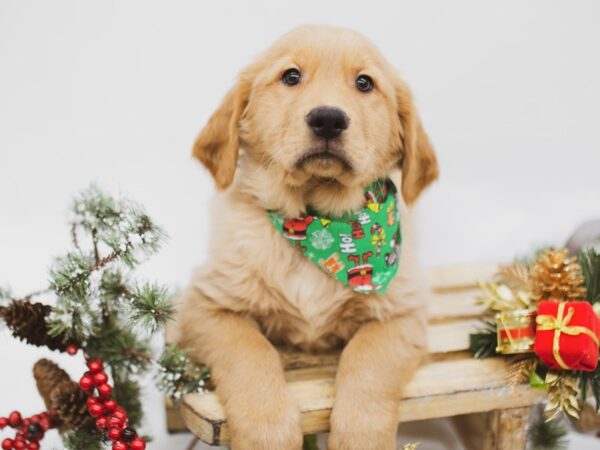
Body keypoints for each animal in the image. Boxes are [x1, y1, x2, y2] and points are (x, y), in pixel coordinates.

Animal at [176, 24, 438, 450]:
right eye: (291, 76)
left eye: (364, 83)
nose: (328, 119)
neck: (319, 224)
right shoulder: (205, 304)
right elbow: (250, 351)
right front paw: (267, 431)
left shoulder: (403, 312)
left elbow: (366, 359)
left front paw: (359, 435)